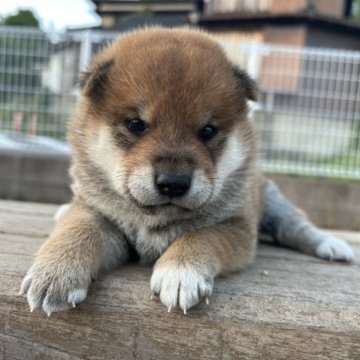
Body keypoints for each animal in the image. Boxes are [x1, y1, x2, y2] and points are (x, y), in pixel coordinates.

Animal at [19, 28, 352, 316]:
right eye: (136, 124)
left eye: (207, 131)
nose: (173, 183)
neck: (154, 220)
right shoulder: (99, 214)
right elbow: (78, 228)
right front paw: (56, 272)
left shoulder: (236, 227)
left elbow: (201, 235)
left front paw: (181, 271)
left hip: (273, 202)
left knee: (295, 227)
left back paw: (331, 245)